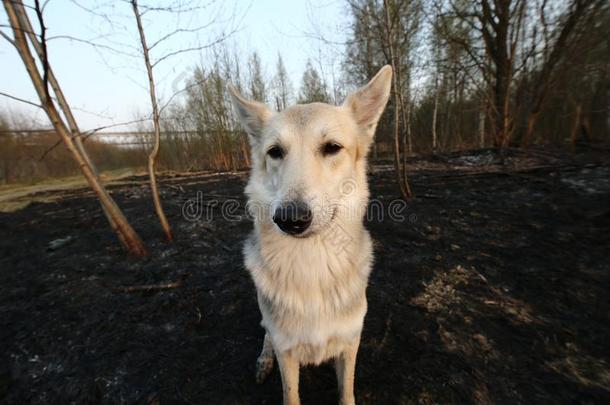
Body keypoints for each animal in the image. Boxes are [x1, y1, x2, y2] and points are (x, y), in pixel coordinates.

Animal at [227, 64, 390, 402]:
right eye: (275, 152)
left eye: (332, 148)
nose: (290, 219)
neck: (311, 266)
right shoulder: (287, 352)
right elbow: (290, 394)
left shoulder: (350, 343)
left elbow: (346, 392)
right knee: (266, 334)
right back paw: (263, 360)